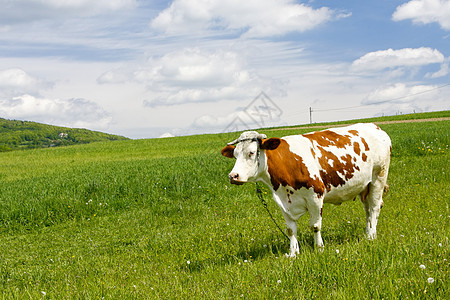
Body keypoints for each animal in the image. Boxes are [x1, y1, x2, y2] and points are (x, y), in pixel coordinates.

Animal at [221, 123, 390, 256]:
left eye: (251, 152)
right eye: (235, 155)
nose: (233, 176)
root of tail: (375, 127)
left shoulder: (315, 196)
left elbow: (315, 226)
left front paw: (319, 248)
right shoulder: (282, 202)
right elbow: (290, 230)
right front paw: (293, 253)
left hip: (378, 177)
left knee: (374, 207)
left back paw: (371, 236)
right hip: (365, 186)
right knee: (368, 209)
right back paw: (368, 231)